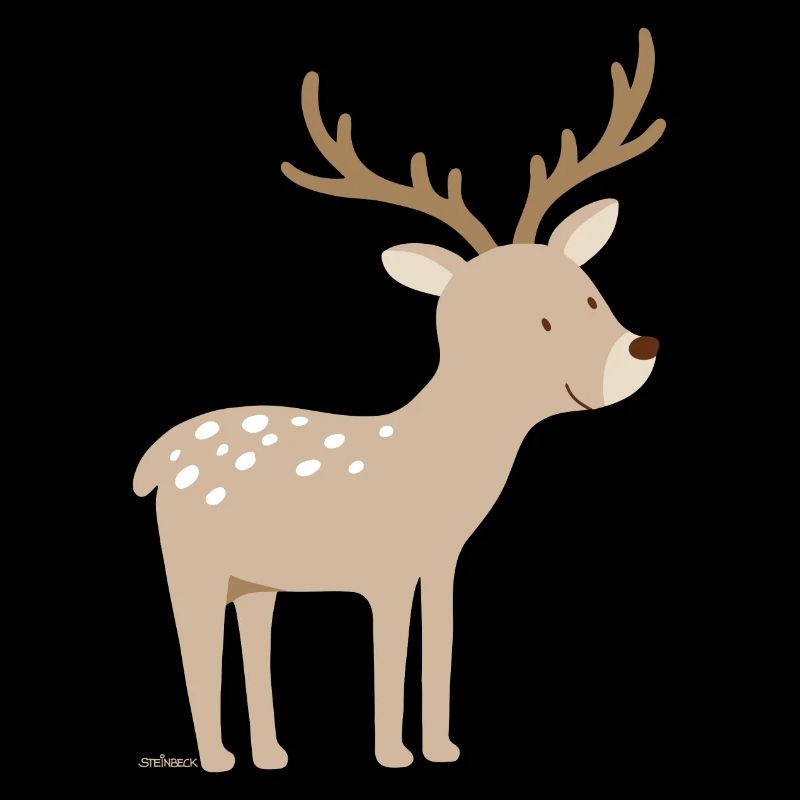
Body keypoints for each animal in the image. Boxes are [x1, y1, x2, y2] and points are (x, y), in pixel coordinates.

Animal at [133, 28, 665, 772]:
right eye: (535, 321)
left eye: (590, 294)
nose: (639, 350)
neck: (435, 460)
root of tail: (153, 463)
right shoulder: (381, 562)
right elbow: (389, 653)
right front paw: (393, 754)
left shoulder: (440, 561)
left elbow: (439, 643)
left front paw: (441, 748)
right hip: (191, 560)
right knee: (194, 649)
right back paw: (217, 760)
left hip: (255, 577)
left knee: (251, 638)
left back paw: (271, 755)